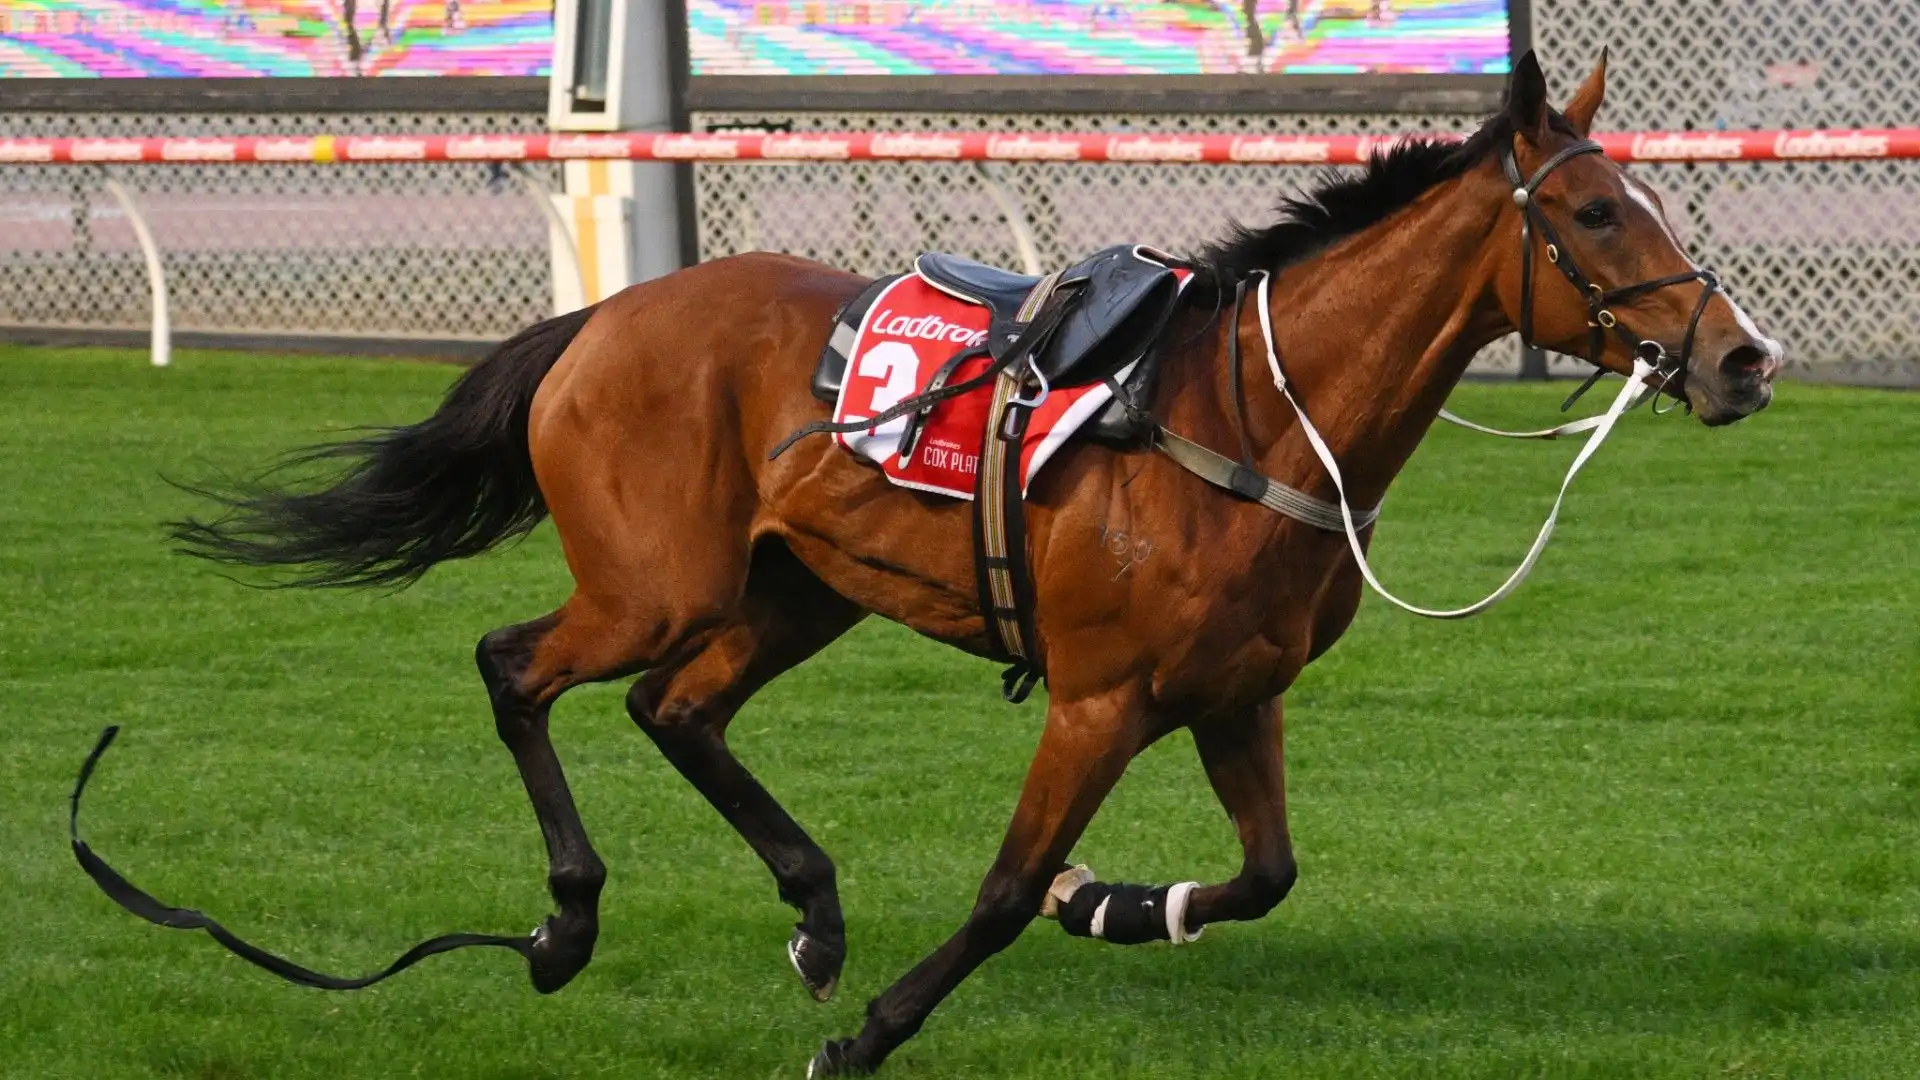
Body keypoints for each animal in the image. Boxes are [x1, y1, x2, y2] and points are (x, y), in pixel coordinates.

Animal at [127, 50, 1774, 1068]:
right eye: (1593, 210)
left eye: (1647, 195)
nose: (1743, 360)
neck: (1247, 422)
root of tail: (601, 319)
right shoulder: (1102, 699)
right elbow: (998, 888)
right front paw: (871, 1032)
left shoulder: (1237, 698)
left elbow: (1265, 876)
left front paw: (1116, 906)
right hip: (658, 585)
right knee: (517, 668)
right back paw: (565, 924)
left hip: (796, 590)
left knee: (676, 709)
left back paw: (812, 909)